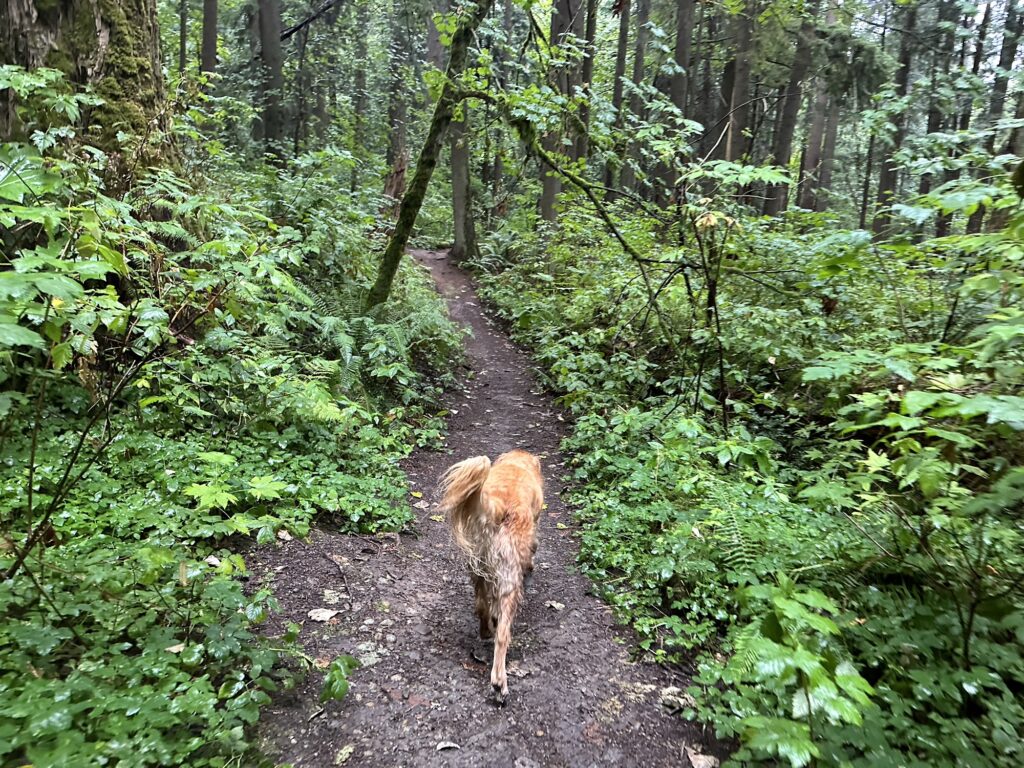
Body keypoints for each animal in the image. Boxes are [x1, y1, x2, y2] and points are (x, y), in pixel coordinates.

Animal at [440, 448, 544, 708]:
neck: (516, 464)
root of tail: (496, 508)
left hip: (477, 568)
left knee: (481, 606)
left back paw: (485, 630)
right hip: (509, 580)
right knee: (502, 635)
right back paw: (499, 684)